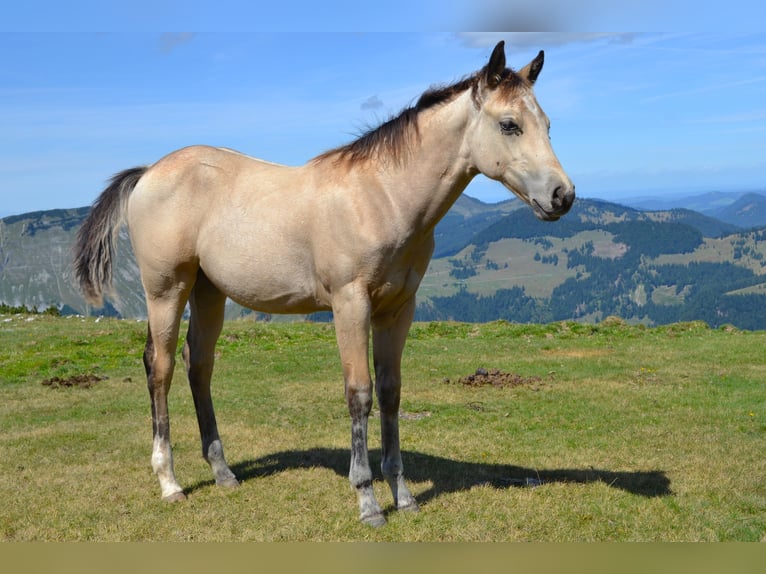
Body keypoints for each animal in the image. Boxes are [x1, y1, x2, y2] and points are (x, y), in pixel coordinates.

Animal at [74, 41, 575, 527]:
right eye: (509, 125)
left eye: (548, 125)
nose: (562, 195)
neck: (381, 196)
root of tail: (148, 172)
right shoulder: (350, 304)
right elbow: (360, 394)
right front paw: (368, 502)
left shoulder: (398, 309)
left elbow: (390, 392)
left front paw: (404, 496)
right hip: (166, 291)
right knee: (160, 367)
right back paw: (170, 482)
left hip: (208, 291)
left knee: (199, 364)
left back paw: (223, 472)